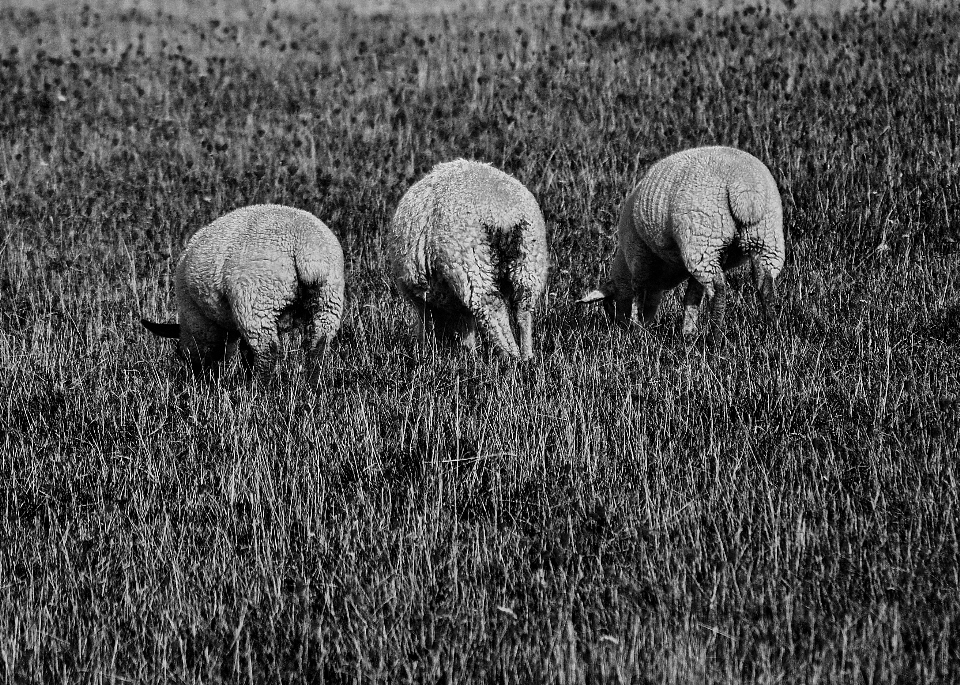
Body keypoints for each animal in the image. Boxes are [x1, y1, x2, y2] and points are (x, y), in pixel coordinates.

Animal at [139, 203, 342, 374]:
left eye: (181, 354)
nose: (196, 376)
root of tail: (305, 247)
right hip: (328, 302)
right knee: (317, 347)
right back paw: (311, 385)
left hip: (257, 303)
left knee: (267, 352)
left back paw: (259, 390)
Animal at [384, 158, 548, 360]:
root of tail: (503, 213)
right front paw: (468, 350)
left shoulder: (421, 297)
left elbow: (429, 322)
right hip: (529, 261)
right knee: (523, 308)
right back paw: (526, 355)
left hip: (472, 263)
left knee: (492, 308)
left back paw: (510, 354)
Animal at [576, 146, 788, 338]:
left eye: (609, 305)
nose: (620, 328)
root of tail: (745, 188)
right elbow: (691, 296)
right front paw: (687, 332)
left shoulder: (639, 257)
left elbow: (639, 292)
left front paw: (636, 328)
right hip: (765, 237)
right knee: (765, 285)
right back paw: (772, 331)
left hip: (704, 239)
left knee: (718, 290)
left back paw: (714, 339)